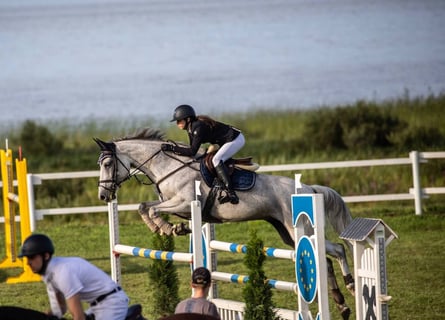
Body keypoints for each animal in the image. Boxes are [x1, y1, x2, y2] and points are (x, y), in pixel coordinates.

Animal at [96, 127, 354, 318]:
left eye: (108, 164)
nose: (103, 196)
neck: (168, 167)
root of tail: (308, 189)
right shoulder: (172, 203)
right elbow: (144, 207)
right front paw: (170, 228)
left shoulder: (185, 203)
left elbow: (151, 209)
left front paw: (169, 228)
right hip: (287, 233)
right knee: (327, 257)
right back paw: (342, 303)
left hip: (297, 228)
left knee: (335, 250)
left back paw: (350, 285)